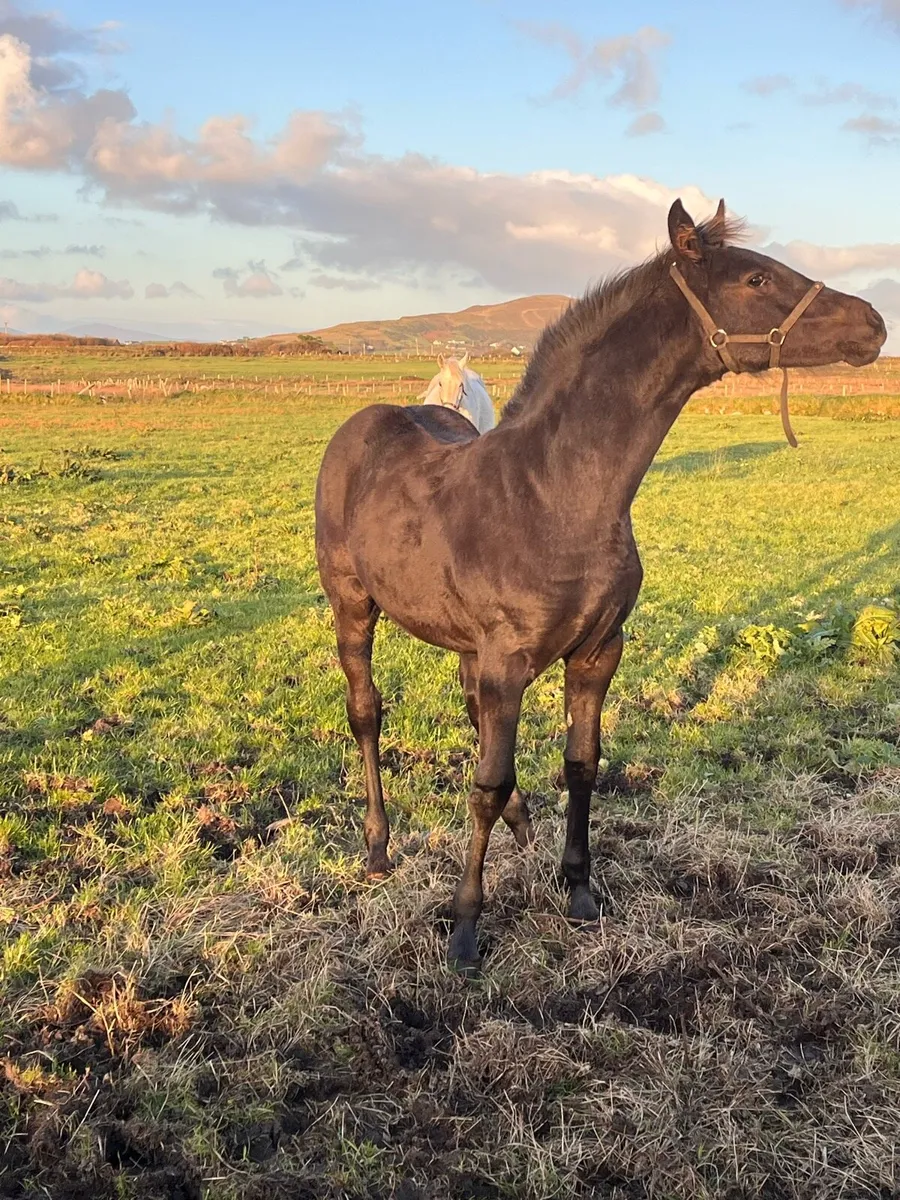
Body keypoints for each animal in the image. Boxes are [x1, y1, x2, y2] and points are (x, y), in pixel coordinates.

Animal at [314, 199, 886, 972]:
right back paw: (377, 849)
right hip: (354, 606)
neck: (556, 491)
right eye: (757, 278)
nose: (874, 323)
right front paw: (464, 927)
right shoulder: (507, 661)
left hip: (465, 642)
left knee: (471, 711)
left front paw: (580, 891)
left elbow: (578, 765)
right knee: (367, 713)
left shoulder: (594, 652)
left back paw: (522, 829)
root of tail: (367, 421)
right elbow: (485, 783)